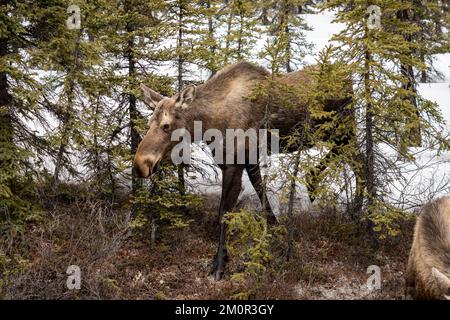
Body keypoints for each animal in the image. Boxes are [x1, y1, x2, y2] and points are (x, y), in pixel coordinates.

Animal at [132, 60, 356, 280]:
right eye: (149, 123)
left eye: (166, 125)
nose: (141, 164)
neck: (210, 123)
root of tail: (348, 77)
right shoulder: (246, 159)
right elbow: (260, 191)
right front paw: (274, 226)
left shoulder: (234, 163)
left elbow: (224, 212)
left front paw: (220, 263)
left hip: (342, 128)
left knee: (354, 157)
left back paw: (321, 186)